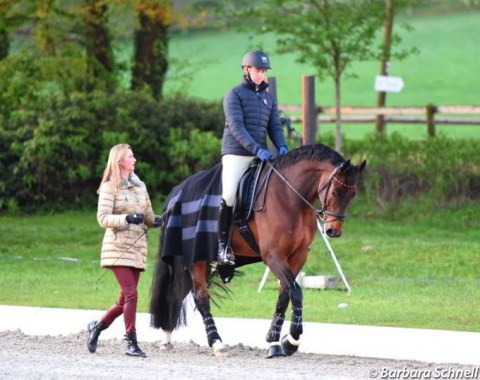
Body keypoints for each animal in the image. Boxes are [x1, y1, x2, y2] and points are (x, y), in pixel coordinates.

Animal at [151, 144, 368, 358]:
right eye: (336, 192)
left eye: (352, 194)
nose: (333, 231)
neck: (290, 197)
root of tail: (177, 191)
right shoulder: (273, 256)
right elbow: (296, 292)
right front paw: (292, 341)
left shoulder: (297, 257)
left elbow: (284, 295)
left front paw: (276, 341)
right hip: (193, 259)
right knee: (200, 298)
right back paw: (216, 344)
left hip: (201, 259)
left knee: (179, 294)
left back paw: (167, 339)